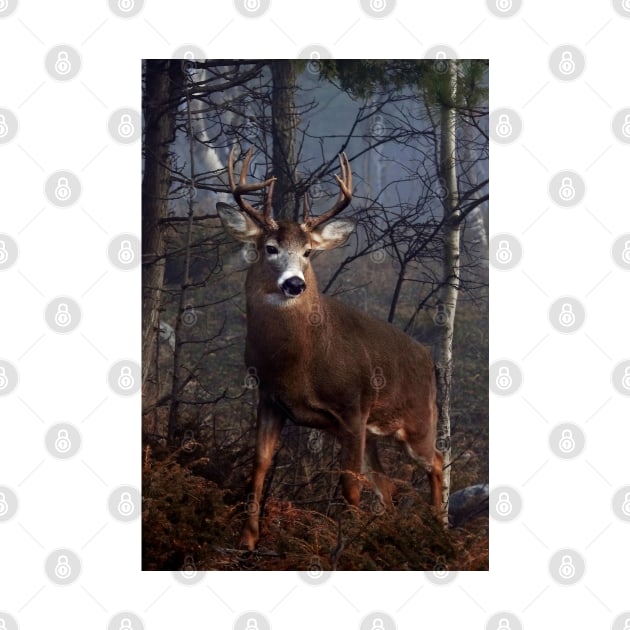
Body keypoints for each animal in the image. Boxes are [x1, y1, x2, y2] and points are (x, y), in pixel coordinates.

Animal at [220, 146, 446, 552]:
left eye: (309, 252)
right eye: (269, 248)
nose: (294, 283)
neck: (298, 365)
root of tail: (428, 358)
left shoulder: (352, 408)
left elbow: (349, 485)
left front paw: (346, 545)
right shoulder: (269, 398)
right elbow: (258, 466)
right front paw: (247, 539)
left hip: (419, 419)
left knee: (435, 460)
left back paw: (439, 527)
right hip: (376, 432)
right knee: (387, 485)